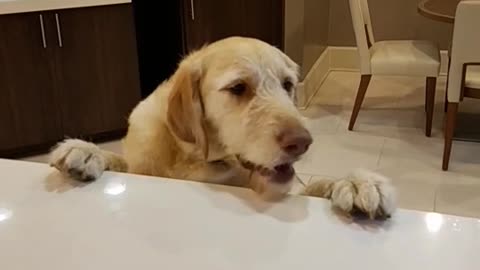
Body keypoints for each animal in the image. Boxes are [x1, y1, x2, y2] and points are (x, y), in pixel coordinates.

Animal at [48, 37, 396, 218]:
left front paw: (358, 183)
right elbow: (119, 162)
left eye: (288, 84)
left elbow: (319, 184)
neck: (198, 161)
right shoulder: (140, 165)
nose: (302, 142)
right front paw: (87, 151)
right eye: (238, 88)